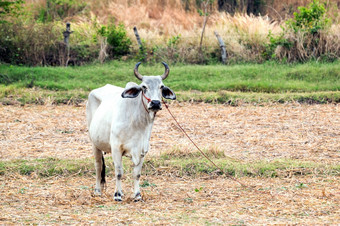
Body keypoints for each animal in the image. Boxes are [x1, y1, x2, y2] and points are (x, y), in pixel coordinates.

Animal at [86, 62, 175, 201]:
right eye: (144, 87)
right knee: (98, 166)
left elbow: (136, 174)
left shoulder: (142, 150)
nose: (155, 103)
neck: (138, 123)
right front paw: (117, 195)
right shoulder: (116, 148)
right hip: (94, 143)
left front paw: (137, 195)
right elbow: (118, 172)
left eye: (161, 87)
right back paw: (97, 191)